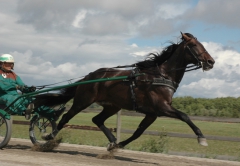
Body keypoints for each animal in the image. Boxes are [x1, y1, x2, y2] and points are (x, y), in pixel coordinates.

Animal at [38, 32, 216, 150]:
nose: (211, 61)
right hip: (83, 101)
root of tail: (89, 76)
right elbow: (185, 116)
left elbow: (138, 132)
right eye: (194, 45)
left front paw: (118, 145)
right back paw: (49, 136)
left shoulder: (152, 113)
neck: (161, 76)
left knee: (97, 119)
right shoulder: (162, 107)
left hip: (112, 106)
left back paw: (112, 140)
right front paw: (201, 138)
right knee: (66, 117)